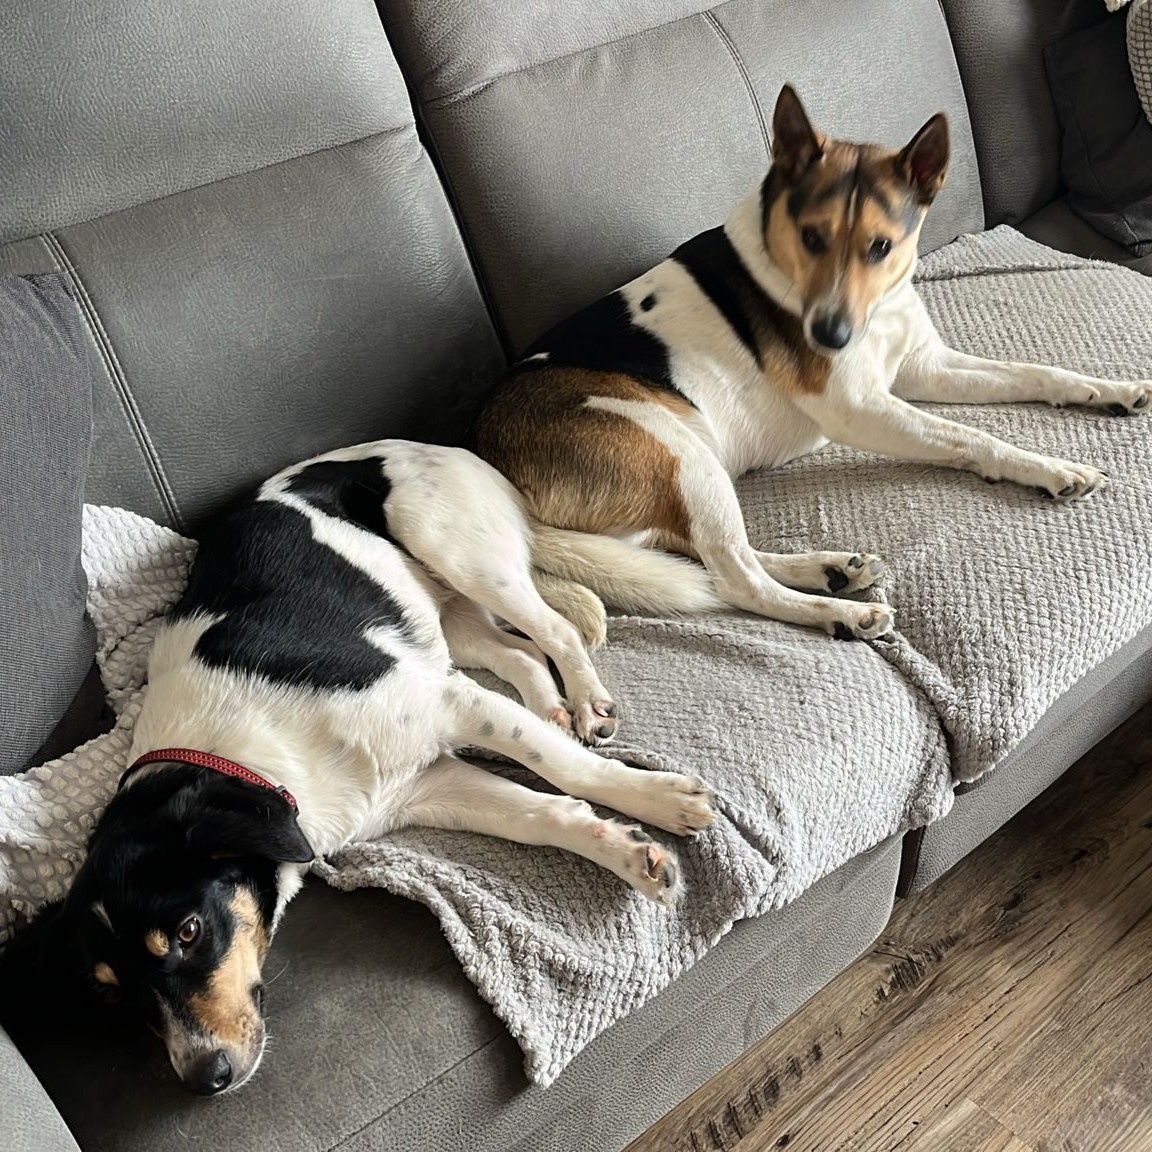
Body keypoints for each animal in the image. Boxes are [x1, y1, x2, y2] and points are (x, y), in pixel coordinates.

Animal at [1, 441, 714, 1094]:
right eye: (111, 993)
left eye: (188, 931)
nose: (206, 1079)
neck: (237, 752)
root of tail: (437, 445)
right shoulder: (427, 783)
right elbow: (544, 815)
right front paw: (630, 853)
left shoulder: (447, 703)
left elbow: (566, 773)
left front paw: (659, 803)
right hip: (449, 625)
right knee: (518, 655)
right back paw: (553, 707)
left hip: (457, 554)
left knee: (555, 633)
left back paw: (587, 702)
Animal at [476, 85, 1152, 640]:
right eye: (811, 238)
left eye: (881, 246)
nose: (829, 336)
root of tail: (489, 460)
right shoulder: (860, 408)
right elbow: (971, 436)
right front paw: (1052, 468)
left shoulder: (922, 366)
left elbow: (1036, 373)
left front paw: (1111, 390)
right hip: (679, 452)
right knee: (735, 579)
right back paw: (844, 612)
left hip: (690, 475)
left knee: (711, 554)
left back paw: (831, 570)